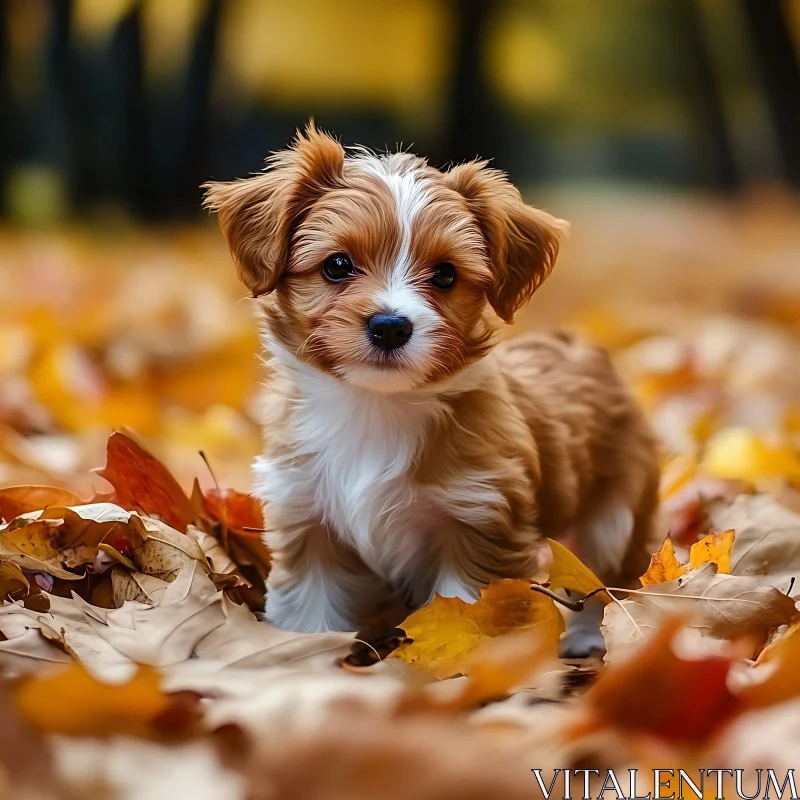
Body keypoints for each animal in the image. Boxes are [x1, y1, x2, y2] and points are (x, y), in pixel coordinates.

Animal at [203, 122, 660, 652]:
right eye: (337, 265)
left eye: (445, 275)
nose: (390, 326)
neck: (374, 408)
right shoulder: (308, 519)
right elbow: (310, 614)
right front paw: (305, 657)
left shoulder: (479, 521)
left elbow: (467, 617)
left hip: (616, 516)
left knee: (604, 580)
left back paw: (590, 638)